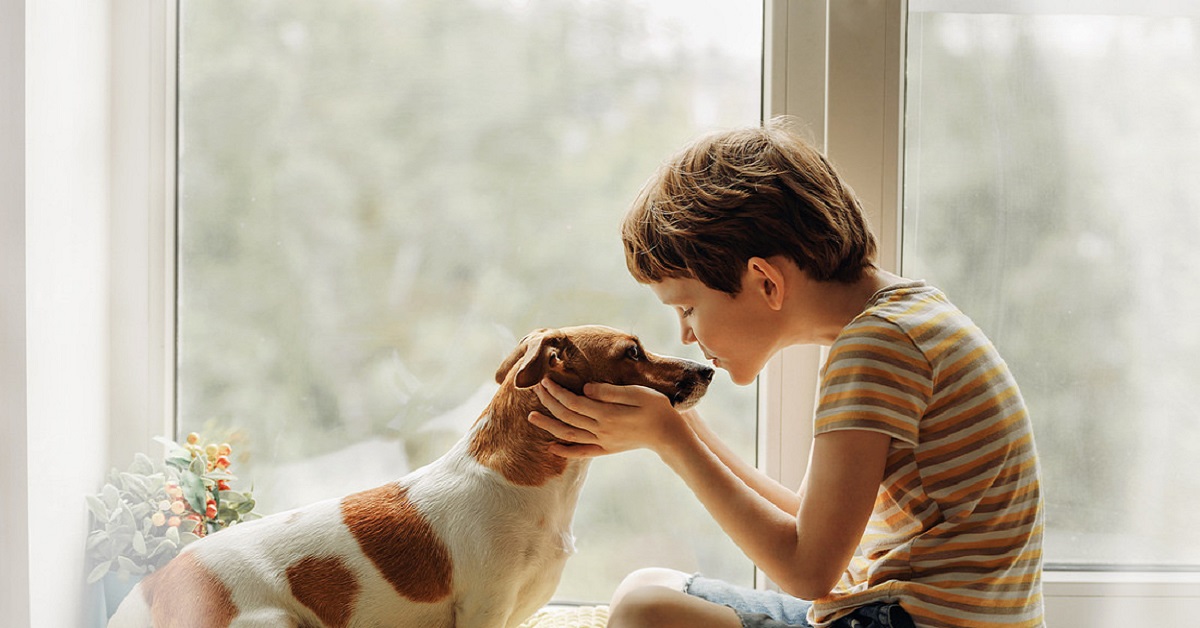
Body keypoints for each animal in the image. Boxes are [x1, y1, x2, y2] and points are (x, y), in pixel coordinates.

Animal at [108, 326, 710, 624]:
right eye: (632, 352)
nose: (707, 368)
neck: (525, 486)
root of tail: (151, 589)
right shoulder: (484, 612)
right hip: (274, 625)